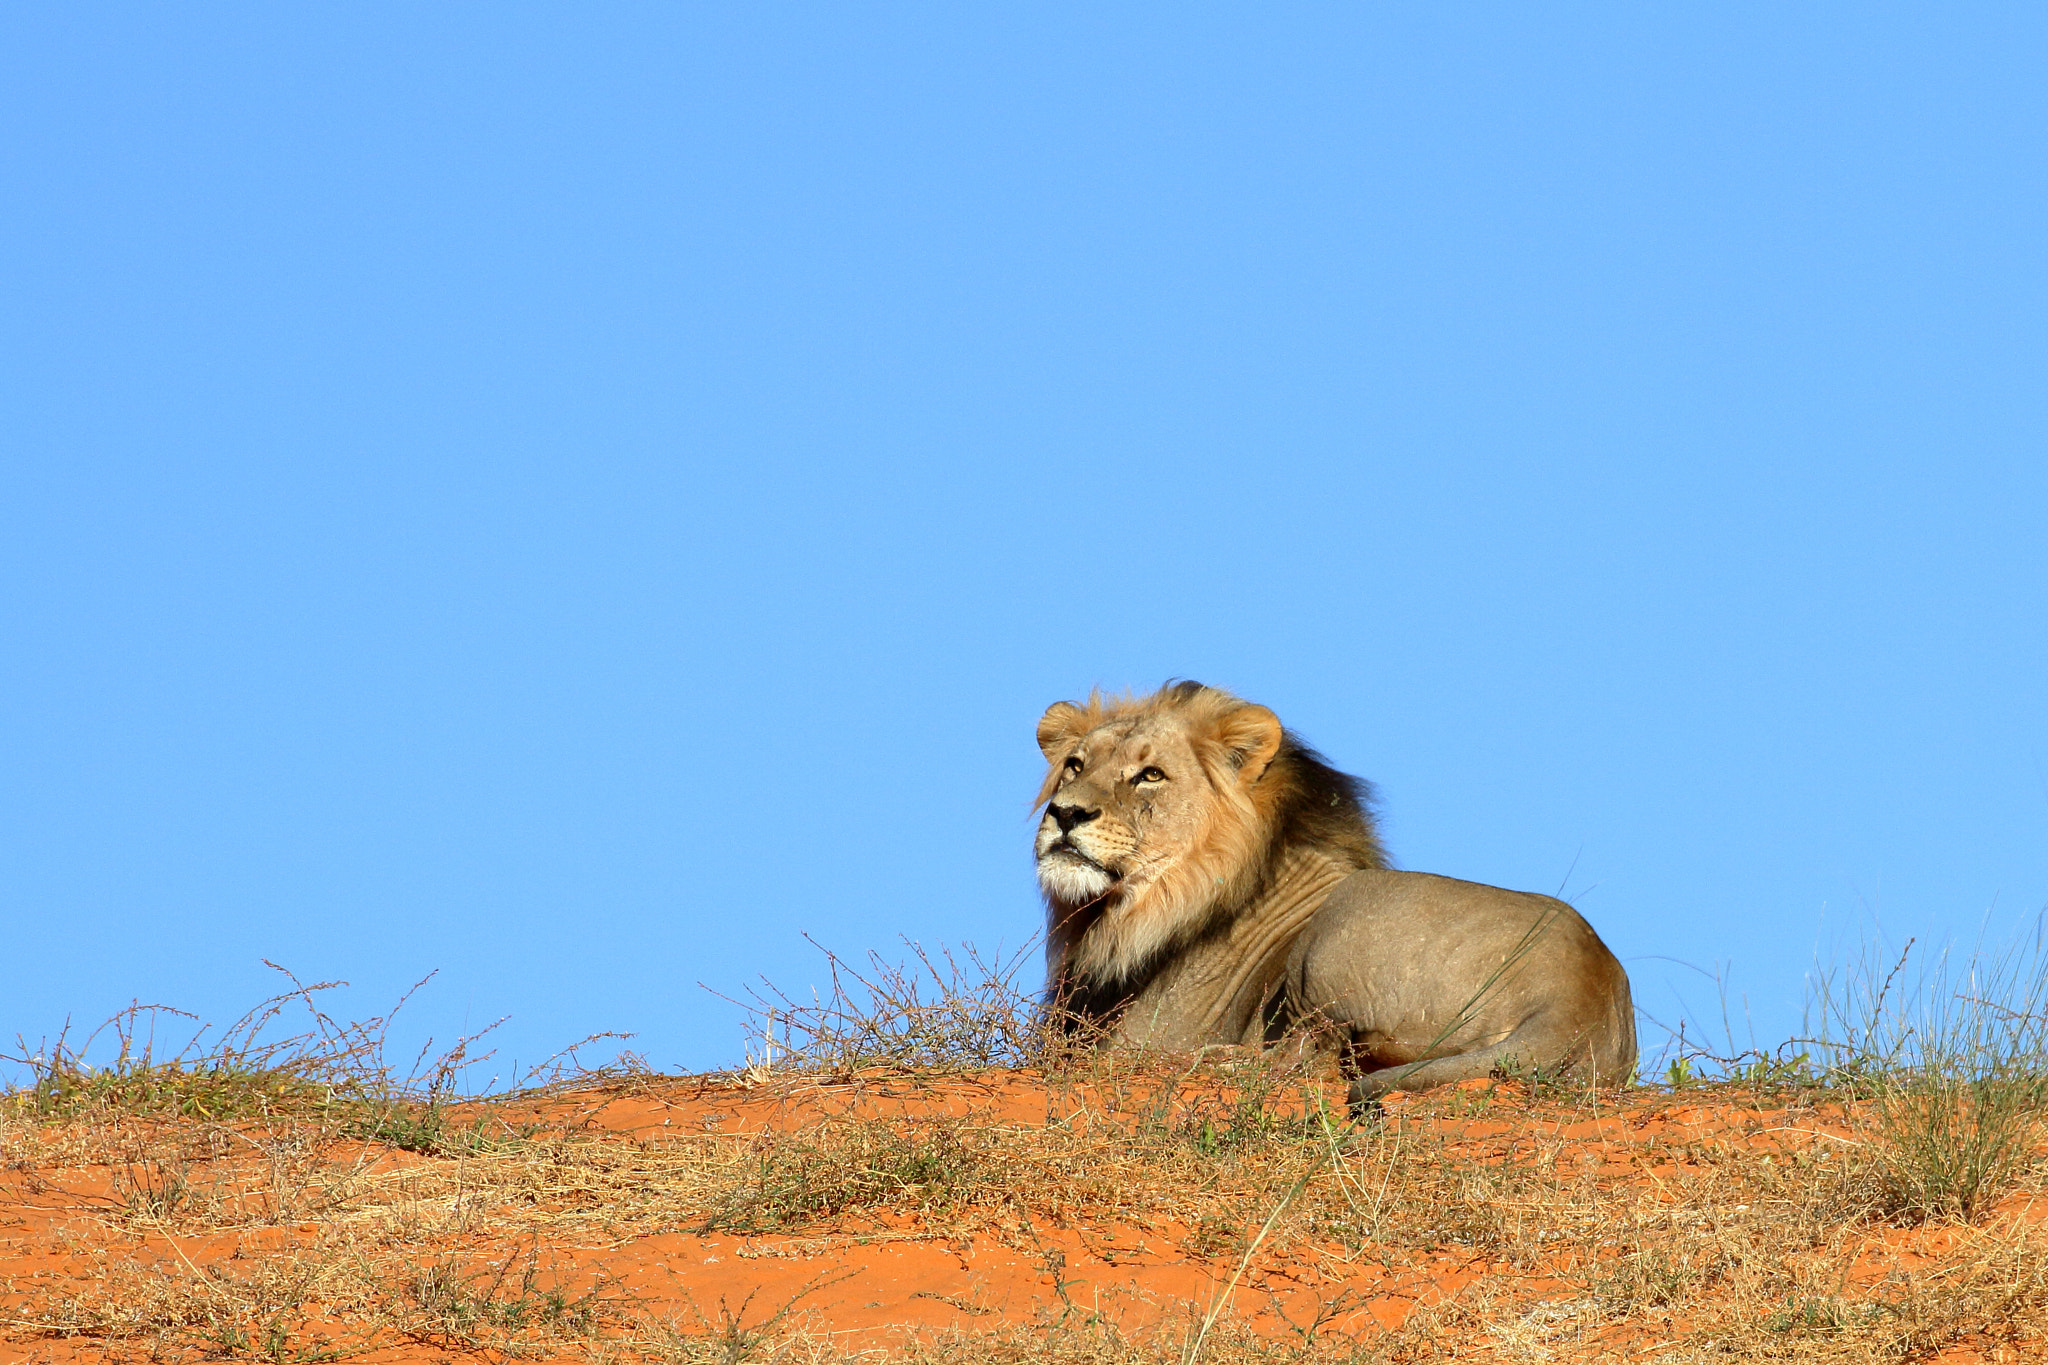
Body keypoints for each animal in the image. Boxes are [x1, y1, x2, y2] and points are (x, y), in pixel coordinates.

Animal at [1032, 679, 1638, 1105]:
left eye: (1151, 775)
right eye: (1074, 766)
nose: (1065, 813)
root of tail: (1576, 996)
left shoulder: (1148, 1037)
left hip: (1336, 933)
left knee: (1305, 1058)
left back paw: (1221, 1059)